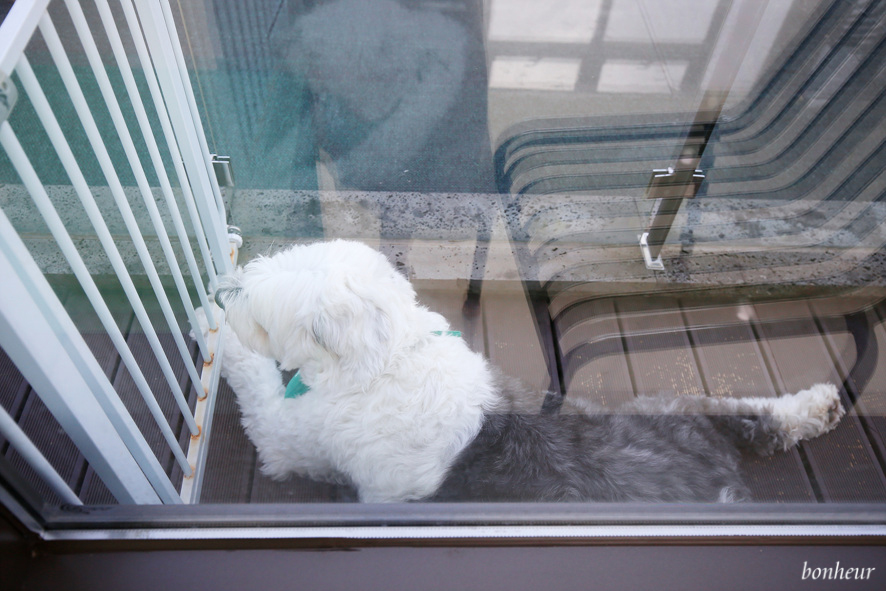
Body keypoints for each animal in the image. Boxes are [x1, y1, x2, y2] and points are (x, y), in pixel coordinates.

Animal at [198, 240, 848, 504]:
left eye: (262, 303)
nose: (228, 285)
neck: (391, 357)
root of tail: (716, 475)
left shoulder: (286, 440)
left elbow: (254, 380)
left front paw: (214, 326)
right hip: (674, 407)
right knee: (756, 414)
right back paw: (817, 406)